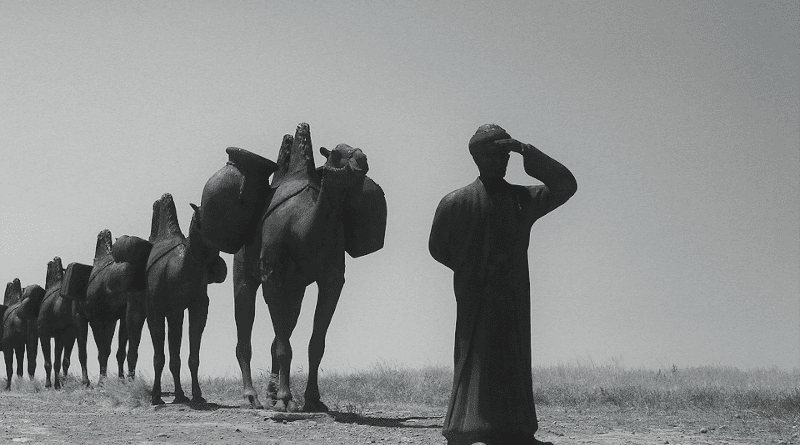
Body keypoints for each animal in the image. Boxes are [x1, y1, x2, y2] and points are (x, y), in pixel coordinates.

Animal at [37, 256, 89, 388]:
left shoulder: (44, 334)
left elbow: (49, 362)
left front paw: (50, 385)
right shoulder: (64, 337)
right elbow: (62, 361)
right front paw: (60, 384)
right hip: (78, 329)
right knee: (80, 353)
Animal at [145, 193, 227, 404]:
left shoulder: (196, 306)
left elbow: (191, 356)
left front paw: (197, 395)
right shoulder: (155, 310)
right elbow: (159, 357)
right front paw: (156, 396)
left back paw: (181, 395)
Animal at [233, 123, 386, 412]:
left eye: (354, 148)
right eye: (336, 153)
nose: (362, 159)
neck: (303, 228)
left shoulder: (331, 280)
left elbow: (315, 343)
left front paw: (312, 399)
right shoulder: (272, 276)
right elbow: (284, 346)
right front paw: (284, 399)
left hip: (295, 290)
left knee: (282, 328)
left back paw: (271, 394)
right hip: (243, 273)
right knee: (245, 329)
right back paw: (252, 396)